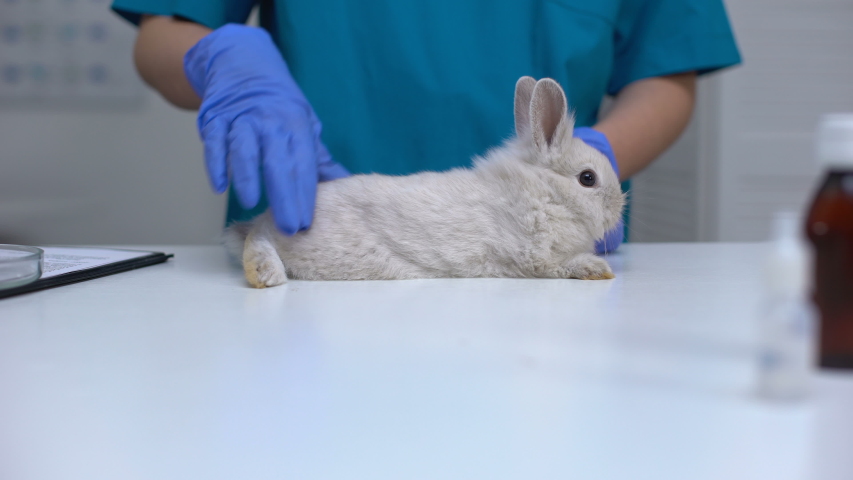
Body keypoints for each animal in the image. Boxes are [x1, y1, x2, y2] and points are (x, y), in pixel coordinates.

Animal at [225, 76, 625, 287]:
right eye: (587, 179)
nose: (619, 207)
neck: (546, 193)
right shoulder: (534, 259)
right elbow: (559, 266)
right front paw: (596, 269)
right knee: (258, 240)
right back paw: (267, 275)